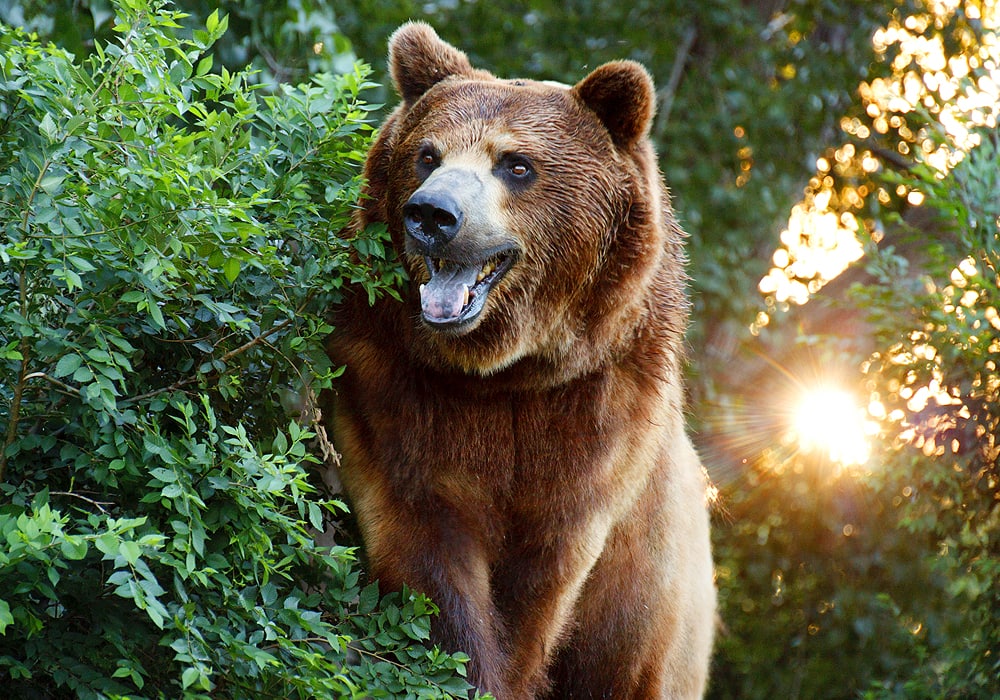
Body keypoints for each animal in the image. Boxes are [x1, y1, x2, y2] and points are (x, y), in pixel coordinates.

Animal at [328, 21, 720, 700]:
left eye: (517, 164)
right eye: (427, 154)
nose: (433, 214)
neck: (508, 372)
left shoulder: (595, 428)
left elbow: (539, 584)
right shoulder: (394, 393)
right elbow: (428, 550)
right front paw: (462, 663)